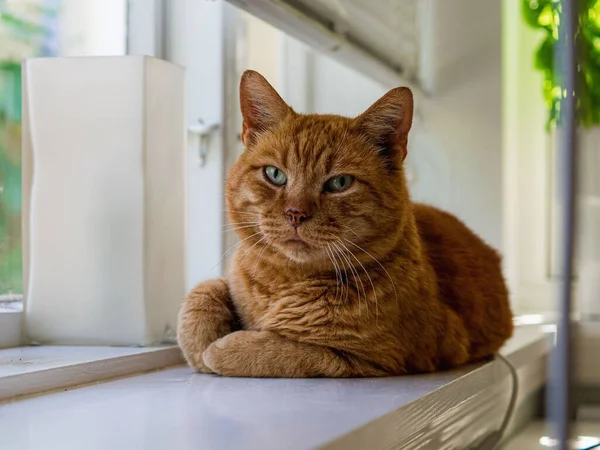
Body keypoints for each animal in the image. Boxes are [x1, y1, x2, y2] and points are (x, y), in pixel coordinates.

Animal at [176, 71, 512, 376]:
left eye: (339, 183)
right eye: (275, 175)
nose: (296, 213)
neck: (285, 282)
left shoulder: (372, 359)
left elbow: (288, 351)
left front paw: (221, 350)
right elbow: (203, 291)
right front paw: (200, 339)